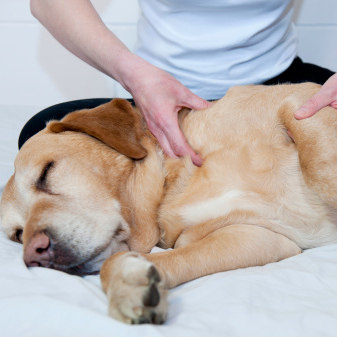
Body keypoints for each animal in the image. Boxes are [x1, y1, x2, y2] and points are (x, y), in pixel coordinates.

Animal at [0, 82, 336, 322]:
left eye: (46, 171)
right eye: (17, 235)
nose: (34, 254)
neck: (170, 185)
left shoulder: (300, 100)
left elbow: (320, 169)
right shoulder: (259, 236)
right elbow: (159, 258)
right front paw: (129, 283)